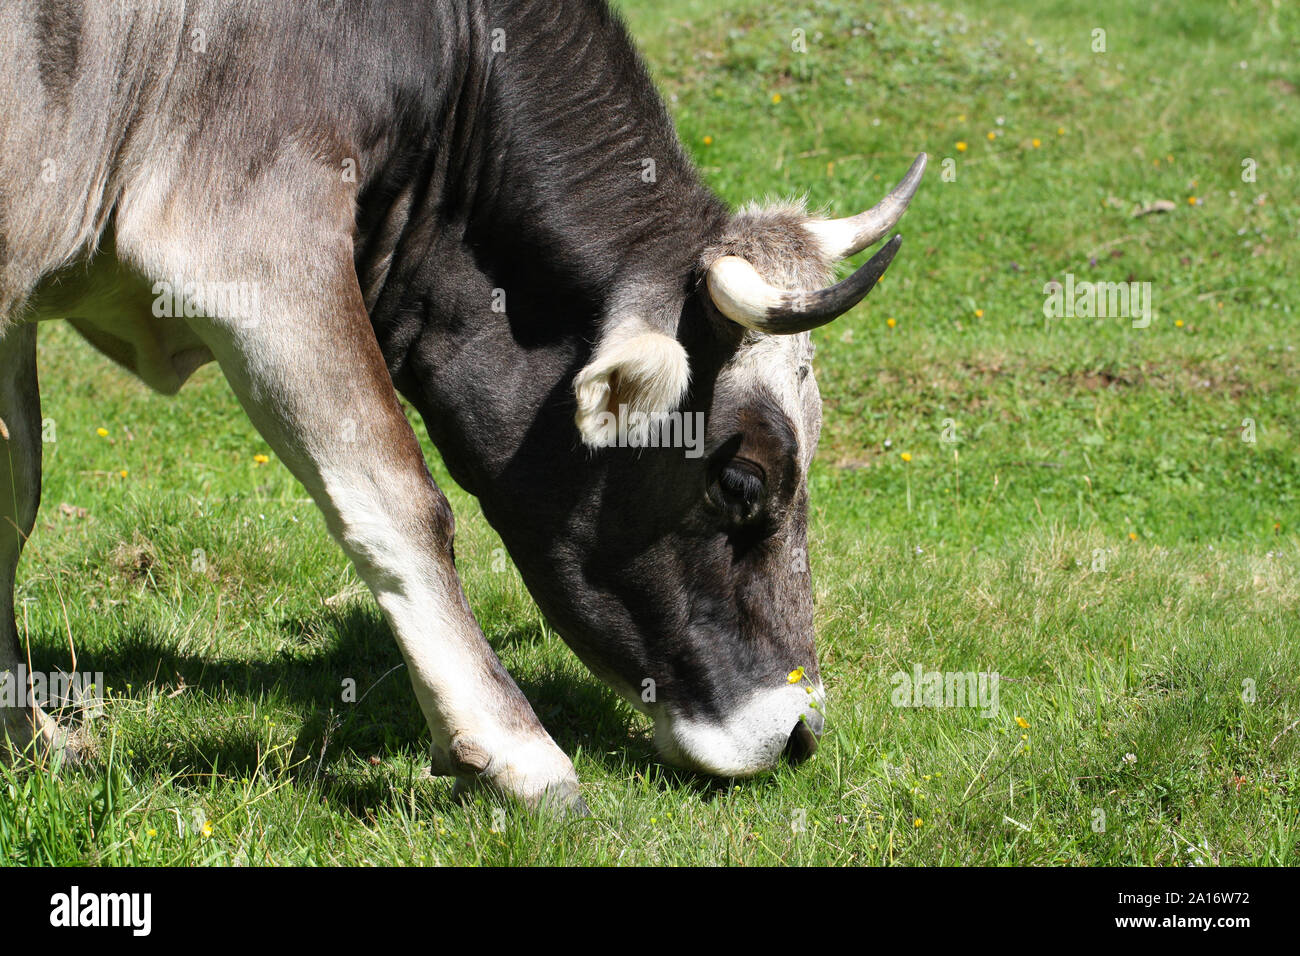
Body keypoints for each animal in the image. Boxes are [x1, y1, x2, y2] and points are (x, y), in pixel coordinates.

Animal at [0, 0, 925, 816]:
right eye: (742, 482)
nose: (800, 733)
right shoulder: (245, 239)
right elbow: (399, 499)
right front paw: (520, 754)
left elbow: (17, 499)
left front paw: (29, 739)